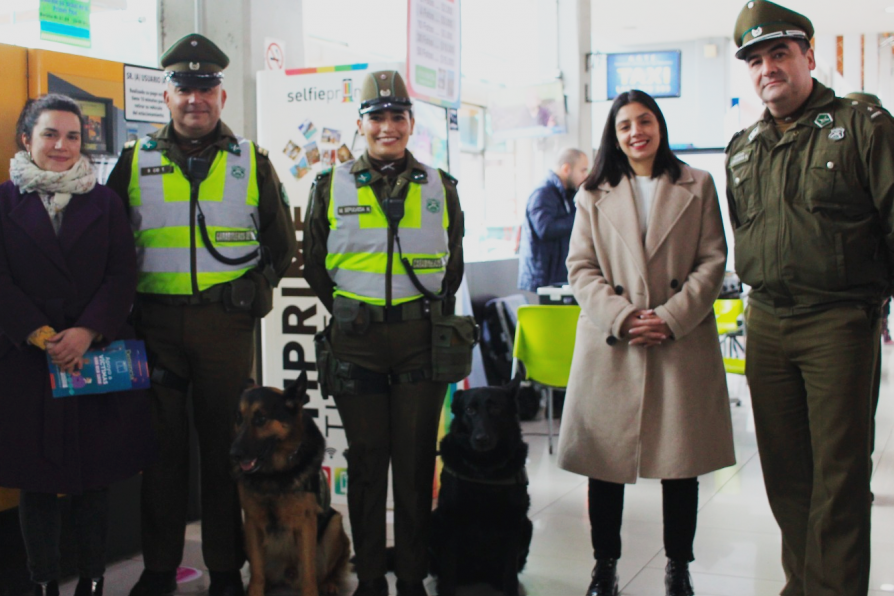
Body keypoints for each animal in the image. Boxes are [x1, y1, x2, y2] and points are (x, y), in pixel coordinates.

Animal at [231, 372, 350, 596]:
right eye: (239, 418)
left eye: (260, 419)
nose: (233, 454)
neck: (274, 474)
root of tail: (287, 575)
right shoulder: (251, 522)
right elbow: (257, 573)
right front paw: (254, 591)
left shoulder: (306, 524)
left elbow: (309, 574)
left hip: (334, 524)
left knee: (327, 570)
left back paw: (329, 584)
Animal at [432, 380, 536, 592]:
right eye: (470, 410)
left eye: (495, 409)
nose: (481, 439)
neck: (484, 468)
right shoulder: (450, 517)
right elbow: (448, 567)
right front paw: (446, 588)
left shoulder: (513, 520)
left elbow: (509, 570)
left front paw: (511, 590)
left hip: (527, 526)